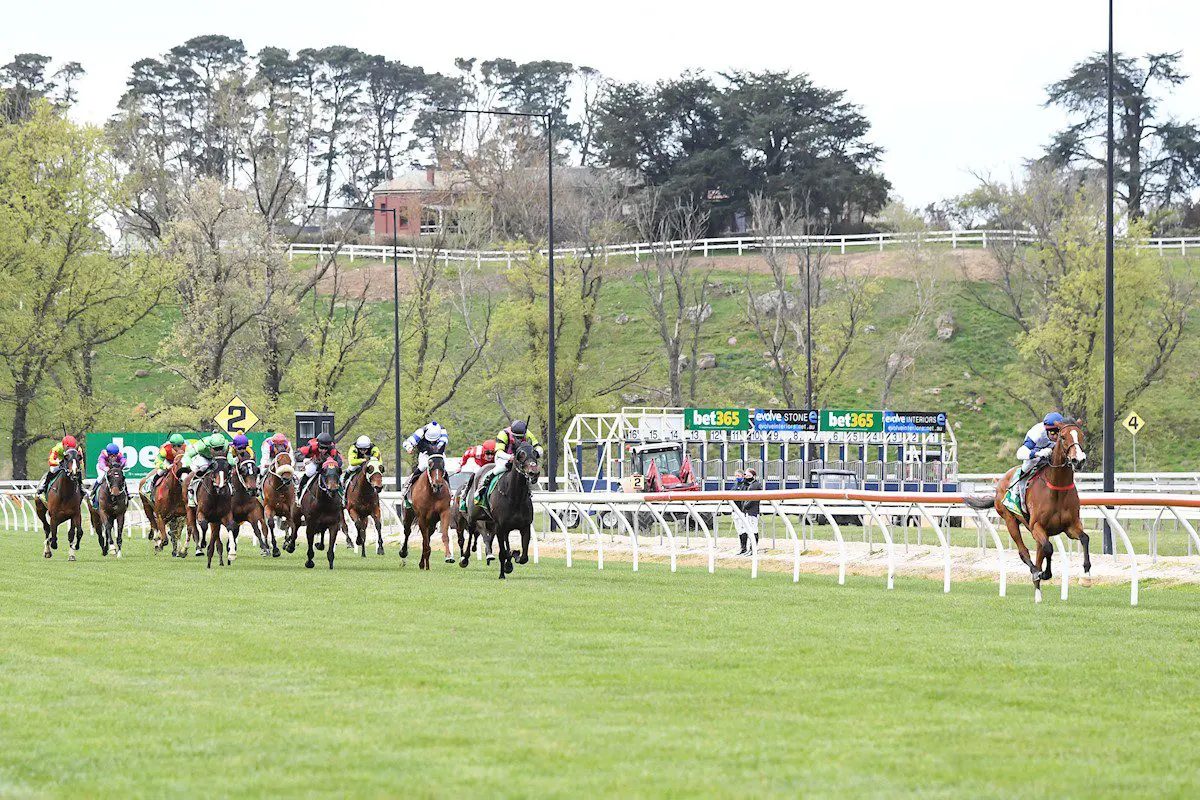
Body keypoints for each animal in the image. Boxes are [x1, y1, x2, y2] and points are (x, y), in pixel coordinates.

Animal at [964, 419, 1089, 599]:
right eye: (1063, 437)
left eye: (1082, 435)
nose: (1078, 460)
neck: (1057, 487)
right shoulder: (1037, 526)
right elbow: (1049, 548)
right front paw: (1043, 573)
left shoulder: (1071, 526)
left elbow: (1084, 538)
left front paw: (1086, 576)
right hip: (1010, 521)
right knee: (1024, 552)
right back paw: (1036, 573)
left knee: (1040, 552)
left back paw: (1038, 592)